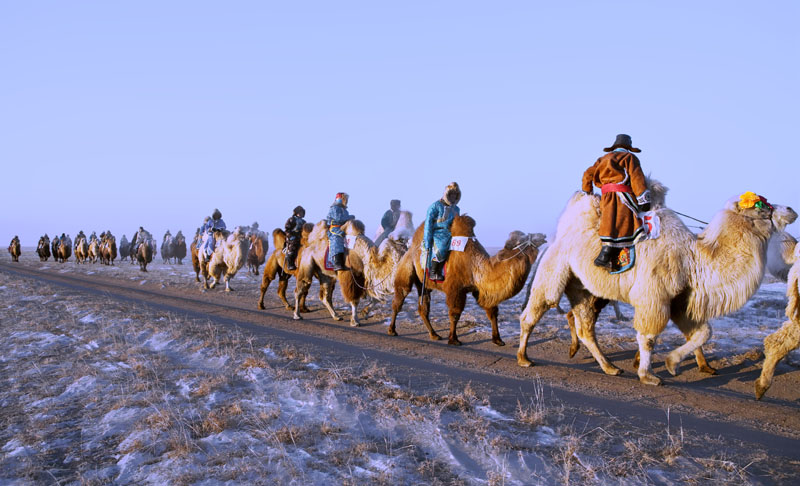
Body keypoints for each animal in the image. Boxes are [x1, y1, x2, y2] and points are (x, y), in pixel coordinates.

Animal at [386, 215, 544, 346]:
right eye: (521, 238)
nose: (542, 235)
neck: (476, 265)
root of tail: (409, 247)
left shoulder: (479, 289)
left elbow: (492, 312)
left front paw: (498, 340)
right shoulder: (456, 289)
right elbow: (455, 313)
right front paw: (454, 339)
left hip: (423, 283)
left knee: (423, 307)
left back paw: (434, 334)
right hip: (406, 268)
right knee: (399, 298)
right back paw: (392, 330)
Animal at [520, 184, 792, 386]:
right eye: (760, 205)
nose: (790, 209)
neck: (693, 258)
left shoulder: (680, 299)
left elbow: (703, 332)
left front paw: (673, 364)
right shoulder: (654, 295)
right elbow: (649, 337)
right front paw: (648, 375)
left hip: (583, 288)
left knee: (585, 327)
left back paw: (610, 367)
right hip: (554, 269)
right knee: (536, 309)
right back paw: (523, 358)